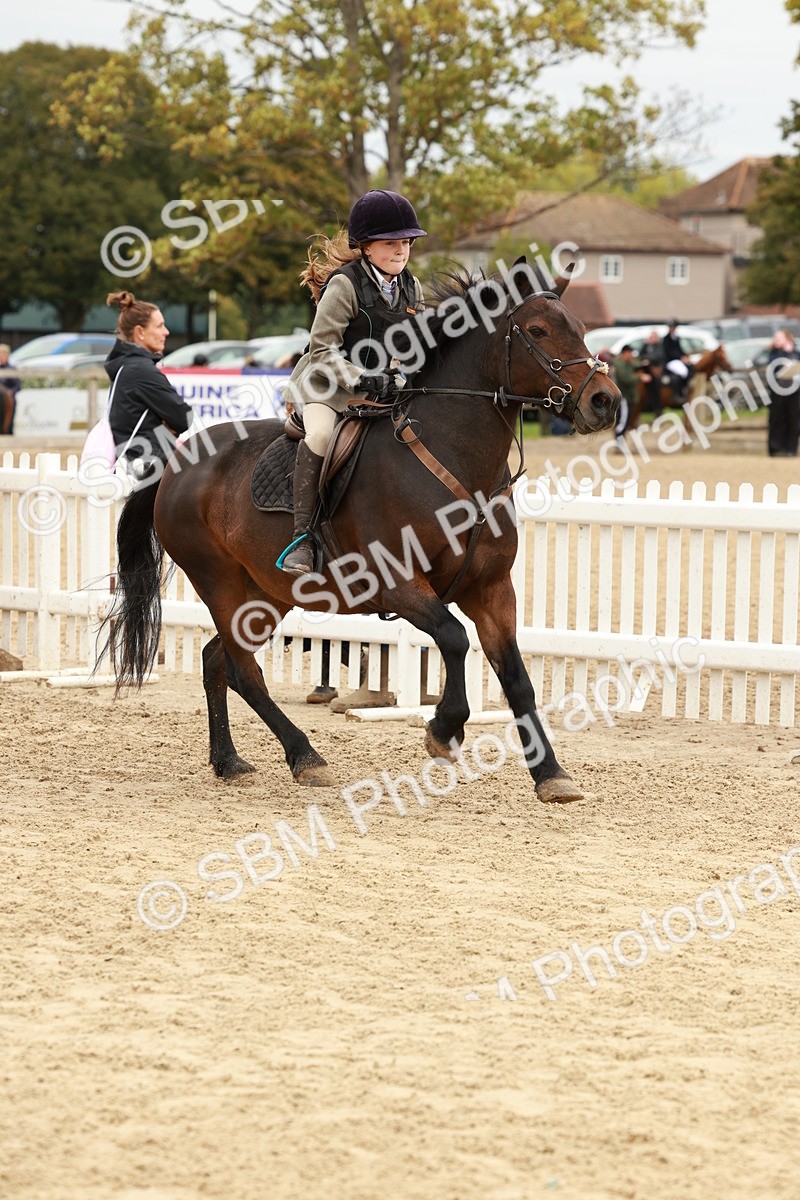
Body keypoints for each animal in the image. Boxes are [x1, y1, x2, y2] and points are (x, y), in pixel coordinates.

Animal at [107, 261, 620, 804]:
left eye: (580, 329)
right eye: (538, 331)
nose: (605, 401)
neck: (456, 459)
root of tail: (176, 461)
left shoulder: (492, 590)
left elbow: (517, 678)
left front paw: (551, 774)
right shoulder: (397, 583)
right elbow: (454, 638)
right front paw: (444, 729)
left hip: (265, 593)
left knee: (215, 661)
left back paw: (228, 760)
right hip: (219, 582)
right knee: (244, 672)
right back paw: (306, 757)